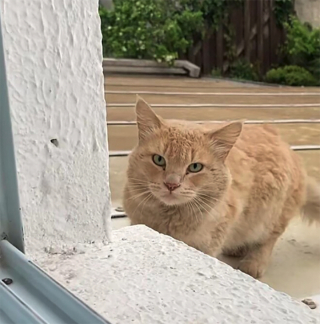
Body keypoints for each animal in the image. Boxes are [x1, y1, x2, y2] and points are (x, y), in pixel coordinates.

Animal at [123, 96, 320, 278]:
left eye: (195, 167)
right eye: (159, 159)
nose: (172, 184)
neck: (168, 218)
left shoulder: (208, 244)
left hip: (272, 216)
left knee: (266, 240)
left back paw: (253, 263)